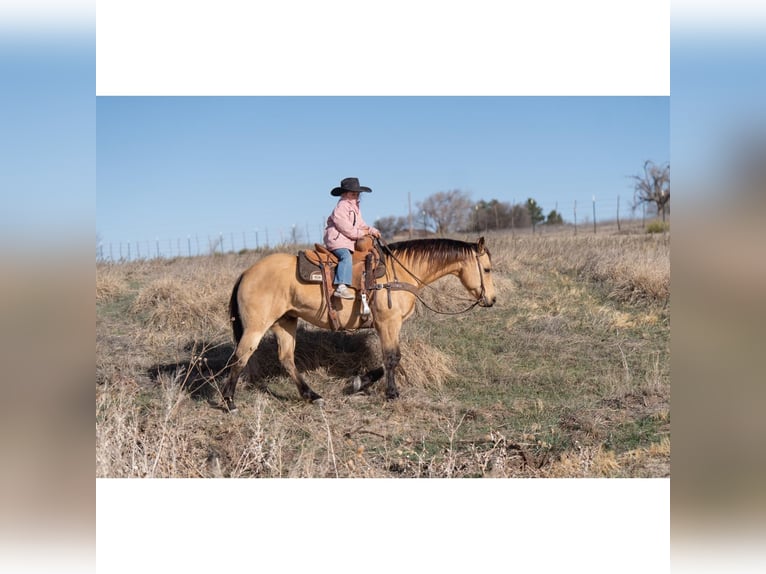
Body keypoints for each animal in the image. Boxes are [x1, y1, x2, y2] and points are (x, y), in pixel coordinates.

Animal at [222, 236, 498, 412]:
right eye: (486, 269)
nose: (492, 299)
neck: (398, 273)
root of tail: (247, 273)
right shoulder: (388, 323)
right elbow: (392, 358)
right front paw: (391, 394)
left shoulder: (388, 326)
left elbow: (389, 361)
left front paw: (360, 383)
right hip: (256, 327)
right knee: (240, 357)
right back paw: (229, 402)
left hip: (285, 322)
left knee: (286, 359)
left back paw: (313, 396)